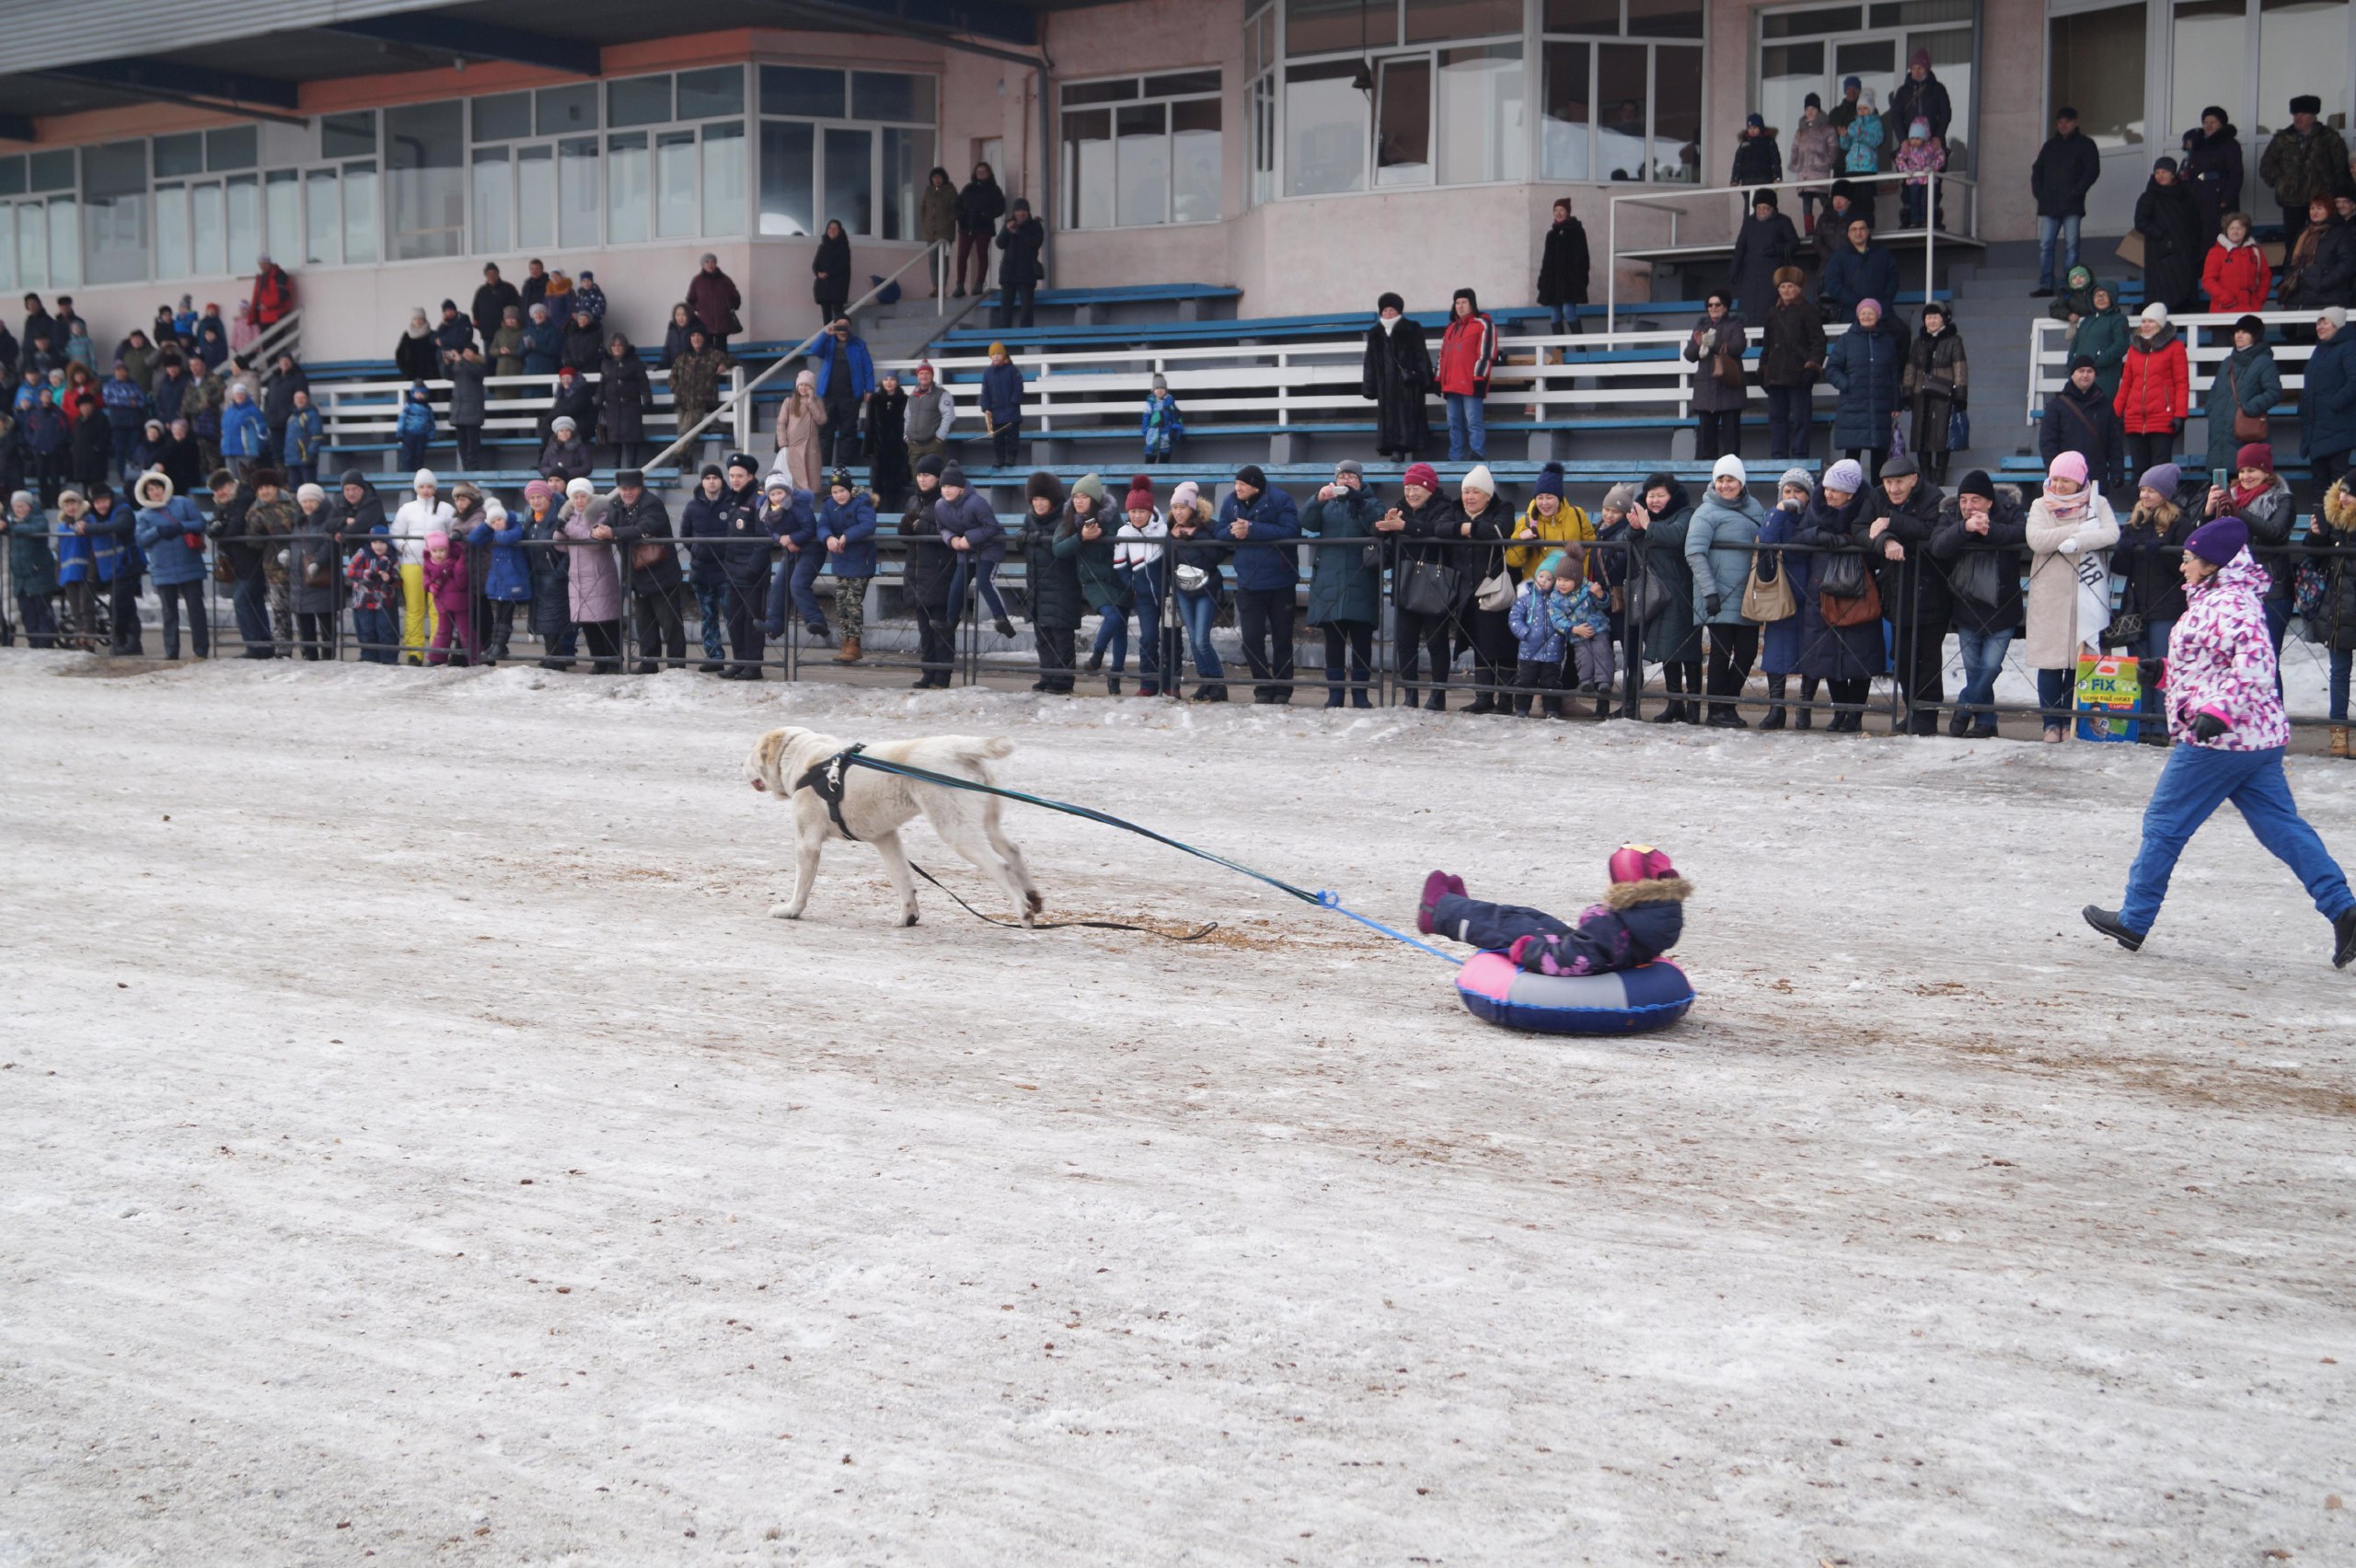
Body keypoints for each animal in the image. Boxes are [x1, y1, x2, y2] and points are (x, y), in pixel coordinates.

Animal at [744, 725, 1041, 928]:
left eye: (752, 754)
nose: (741, 765)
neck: (805, 759)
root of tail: (957, 747)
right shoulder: (886, 839)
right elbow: (901, 878)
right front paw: (908, 916)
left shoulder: (807, 842)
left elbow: (802, 885)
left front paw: (791, 910)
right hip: (985, 822)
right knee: (1012, 850)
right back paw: (1033, 897)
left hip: (955, 829)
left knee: (1000, 865)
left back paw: (1023, 910)